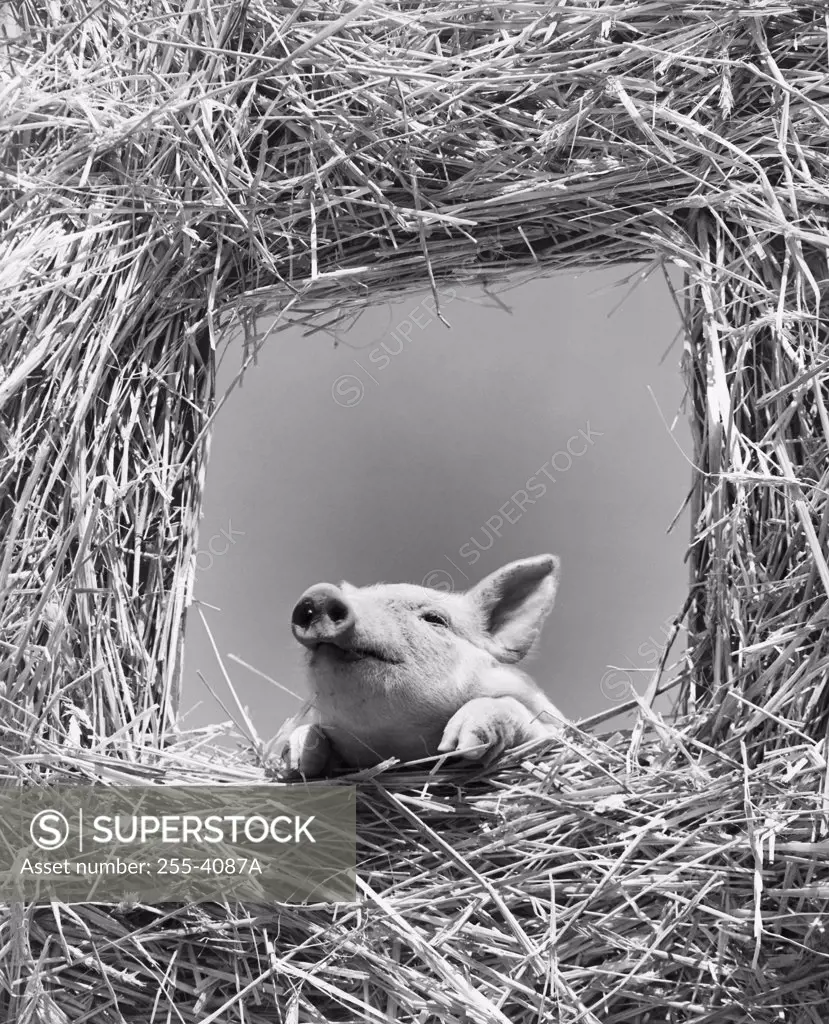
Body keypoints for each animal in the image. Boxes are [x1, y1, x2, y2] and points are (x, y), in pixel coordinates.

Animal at [280, 552, 564, 774]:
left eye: (435, 619)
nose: (321, 594)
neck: (398, 746)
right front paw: (295, 756)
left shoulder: (550, 724)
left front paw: (461, 743)